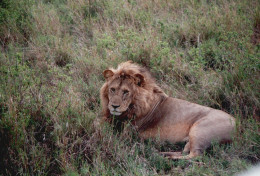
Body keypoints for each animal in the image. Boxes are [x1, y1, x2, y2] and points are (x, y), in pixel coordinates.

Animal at [100, 60, 236, 160]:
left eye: (126, 92)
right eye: (112, 89)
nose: (114, 106)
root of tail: (237, 125)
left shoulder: (128, 133)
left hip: (199, 130)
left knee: (195, 155)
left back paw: (166, 157)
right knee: (185, 152)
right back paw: (163, 153)